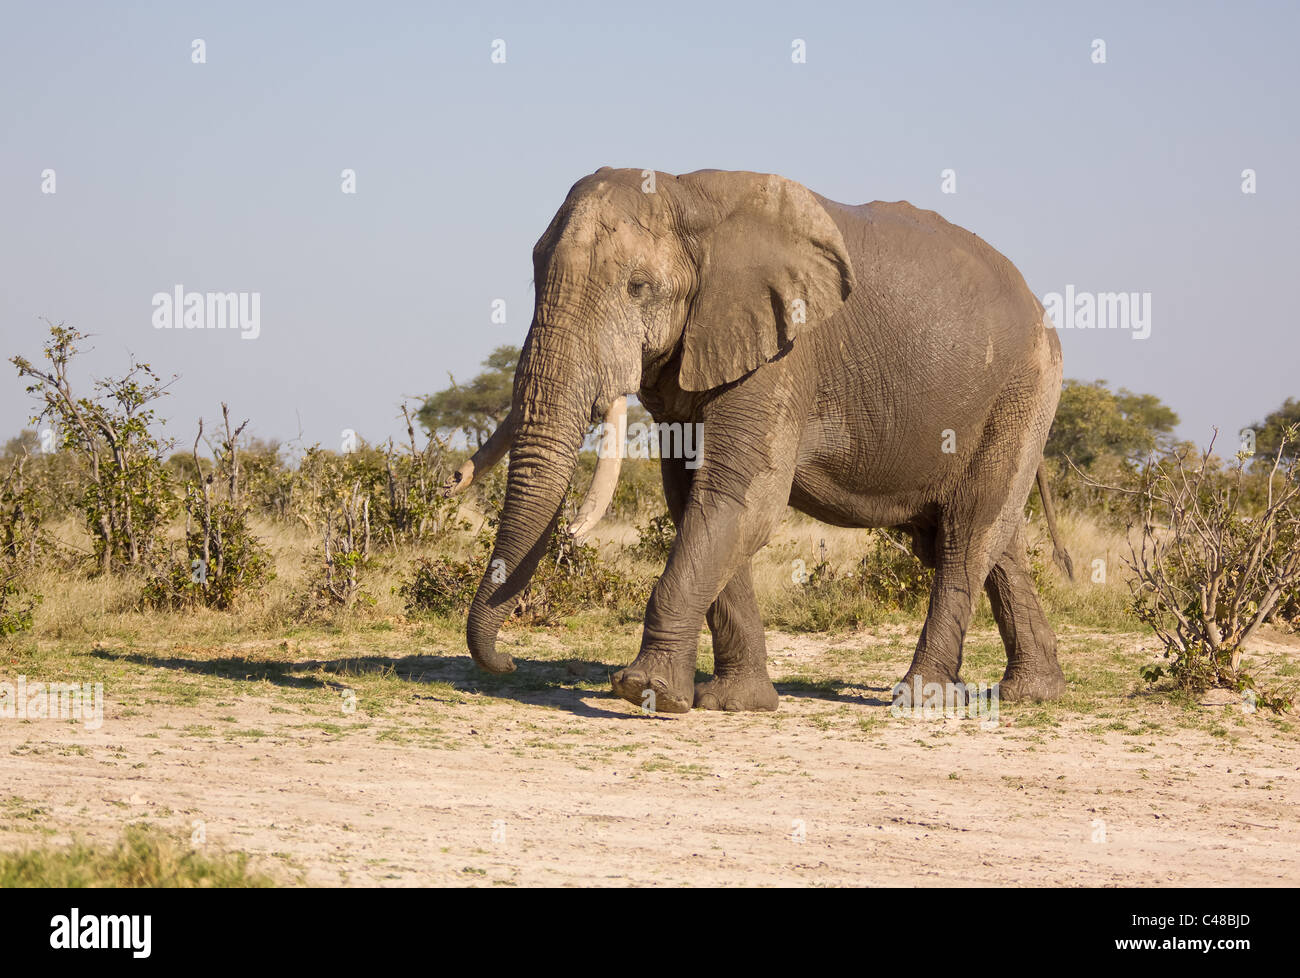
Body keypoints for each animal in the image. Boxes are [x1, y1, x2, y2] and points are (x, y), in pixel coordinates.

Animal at [441, 167, 1071, 712]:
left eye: (638, 287)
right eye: (534, 279)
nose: (508, 665)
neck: (685, 196)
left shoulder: (785, 353)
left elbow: (740, 499)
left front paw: (647, 693)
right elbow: (695, 499)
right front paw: (734, 704)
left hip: (1024, 389)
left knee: (967, 534)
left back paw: (921, 700)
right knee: (985, 539)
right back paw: (1032, 694)